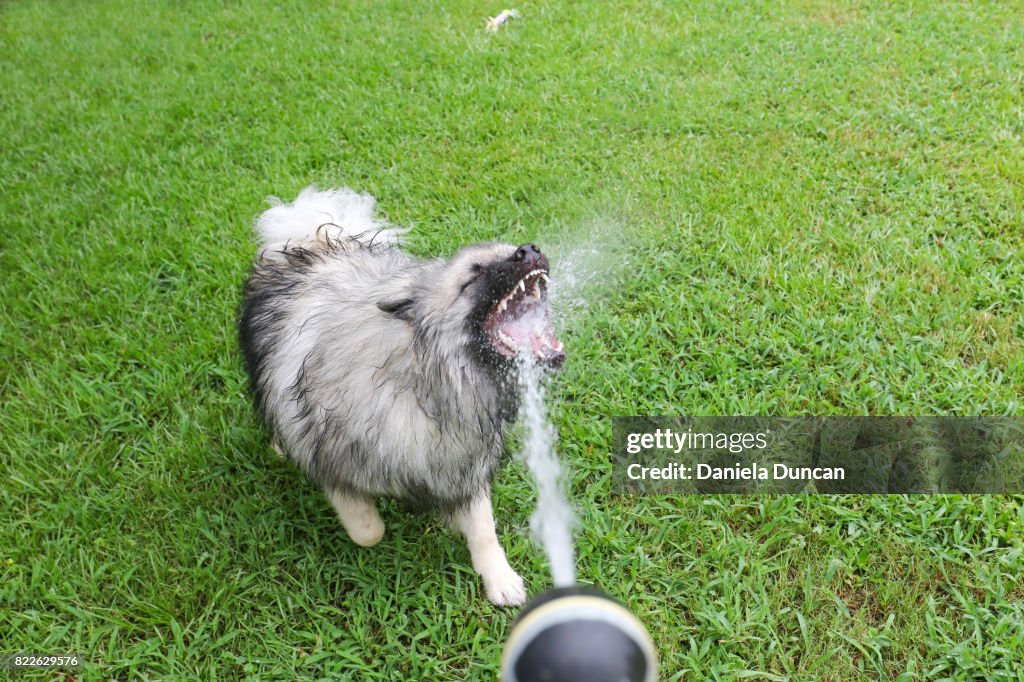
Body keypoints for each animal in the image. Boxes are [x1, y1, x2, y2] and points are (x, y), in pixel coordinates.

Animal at [238, 187, 565, 606]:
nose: (528, 249)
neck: (425, 382)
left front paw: (499, 578)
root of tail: (315, 240)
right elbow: (367, 531)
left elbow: (483, 528)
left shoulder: (462, 462)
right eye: (473, 274)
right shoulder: (332, 463)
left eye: (509, 250)